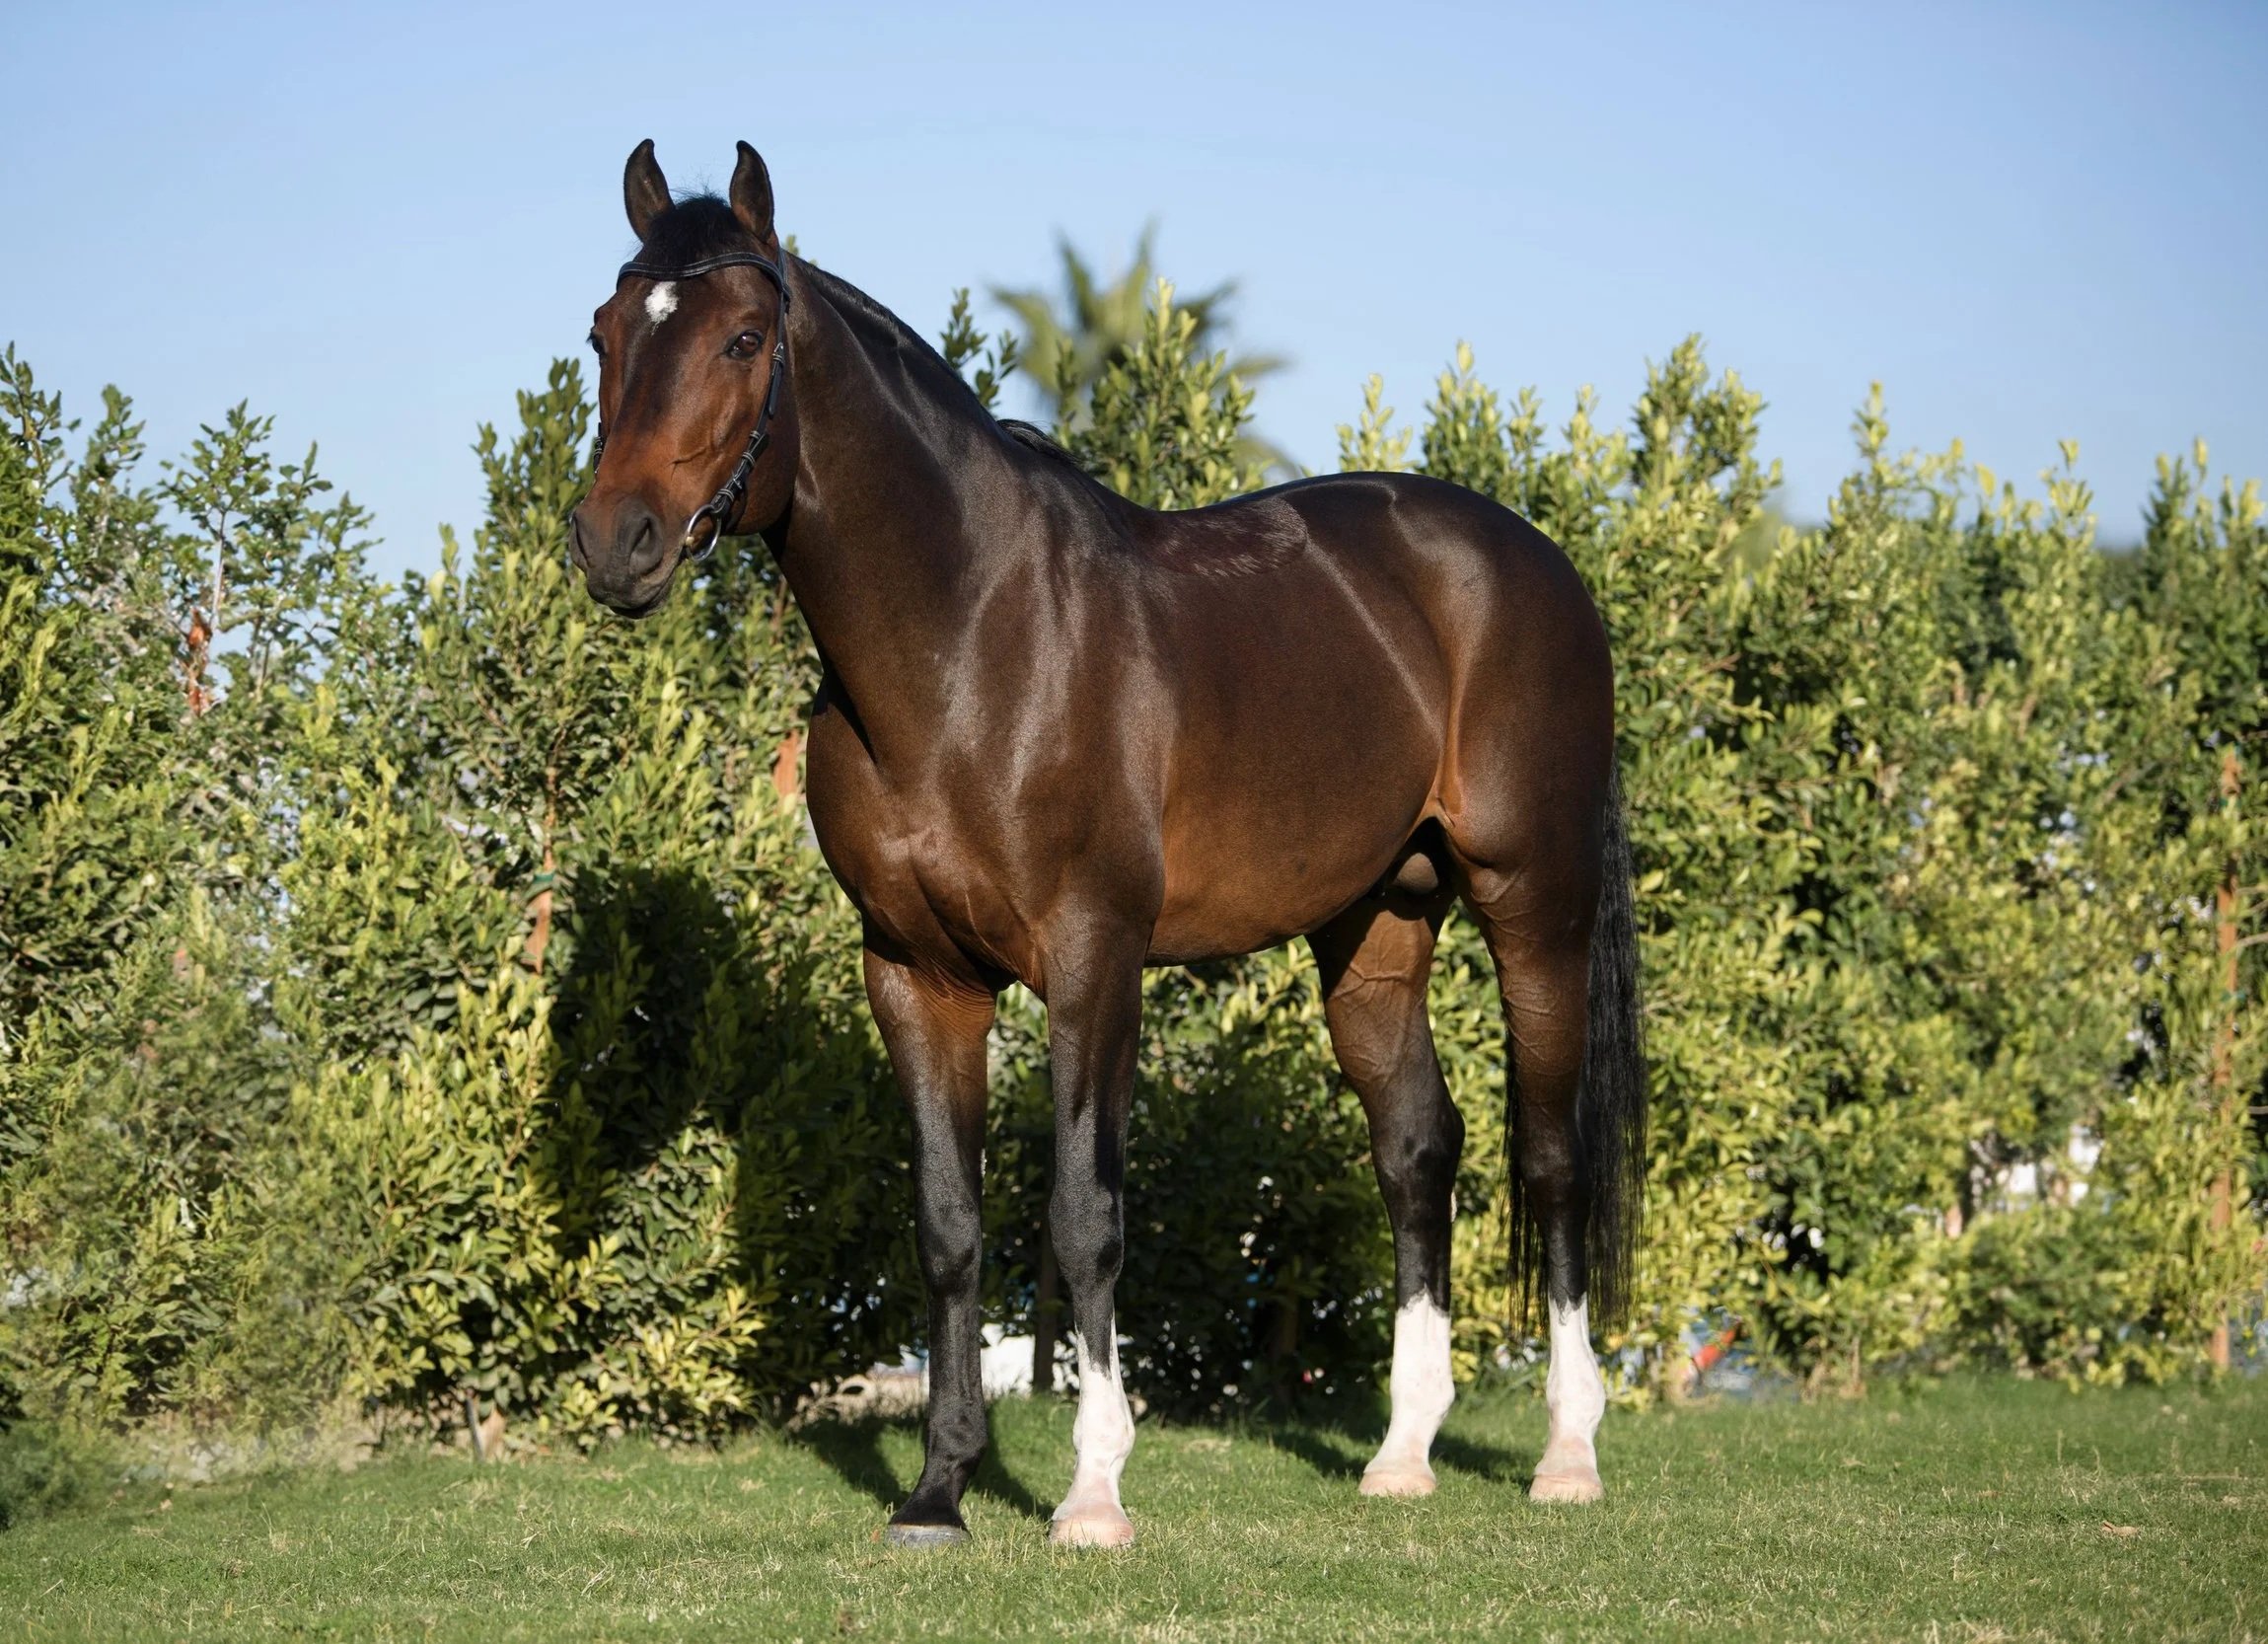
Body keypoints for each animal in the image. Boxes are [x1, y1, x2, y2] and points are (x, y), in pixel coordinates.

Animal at [570, 139, 1645, 1549]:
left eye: (744, 338)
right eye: (601, 335)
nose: (615, 542)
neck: (970, 642)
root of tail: (1532, 563)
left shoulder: (1094, 959)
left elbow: (1083, 1217)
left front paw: (1090, 1493)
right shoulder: (915, 973)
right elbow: (948, 1225)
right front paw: (938, 1491)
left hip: (1535, 901)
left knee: (1551, 1154)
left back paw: (1568, 1453)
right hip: (1375, 922)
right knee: (1417, 1151)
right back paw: (1401, 1455)